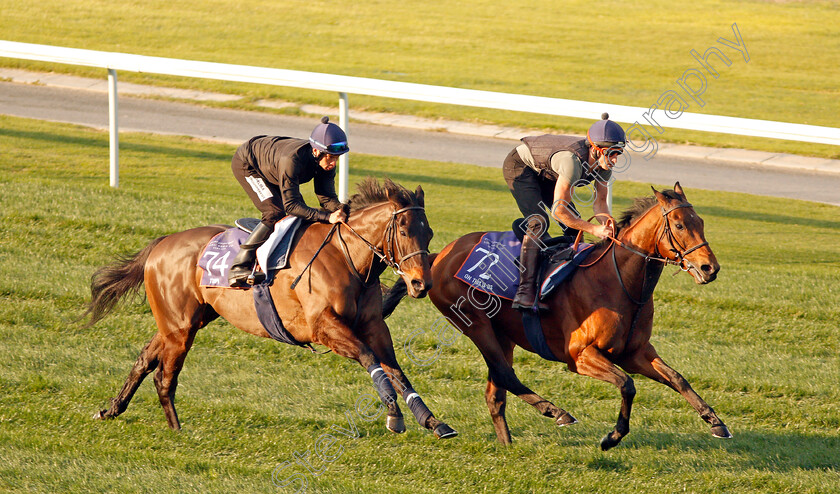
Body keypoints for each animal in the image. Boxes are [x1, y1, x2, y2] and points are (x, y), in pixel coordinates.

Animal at [82, 179, 456, 438]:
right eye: (404, 231)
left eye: (429, 233)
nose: (421, 285)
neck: (346, 257)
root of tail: (162, 243)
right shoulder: (323, 326)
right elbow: (368, 358)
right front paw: (393, 415)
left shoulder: (374, 325)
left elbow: (396, 370)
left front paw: (433, 421)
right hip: (180, 326)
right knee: (164, 375)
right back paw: (176, 429)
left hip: (186, 321)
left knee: (146, 359)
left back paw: (111, 409)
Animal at [380, 183, 728, 450]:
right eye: (680, 225)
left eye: (701, 222)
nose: (710, 268)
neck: (619, 282)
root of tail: (439, 255)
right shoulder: (580, 355)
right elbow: (627, 385)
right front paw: (612, 437)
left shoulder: (635, 352)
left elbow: (677, 378)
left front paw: (716, 422)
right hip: (476, 325)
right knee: (506, 375)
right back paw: (557, 412)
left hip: (502, 334)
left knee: (496, 392)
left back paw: (508, 445)